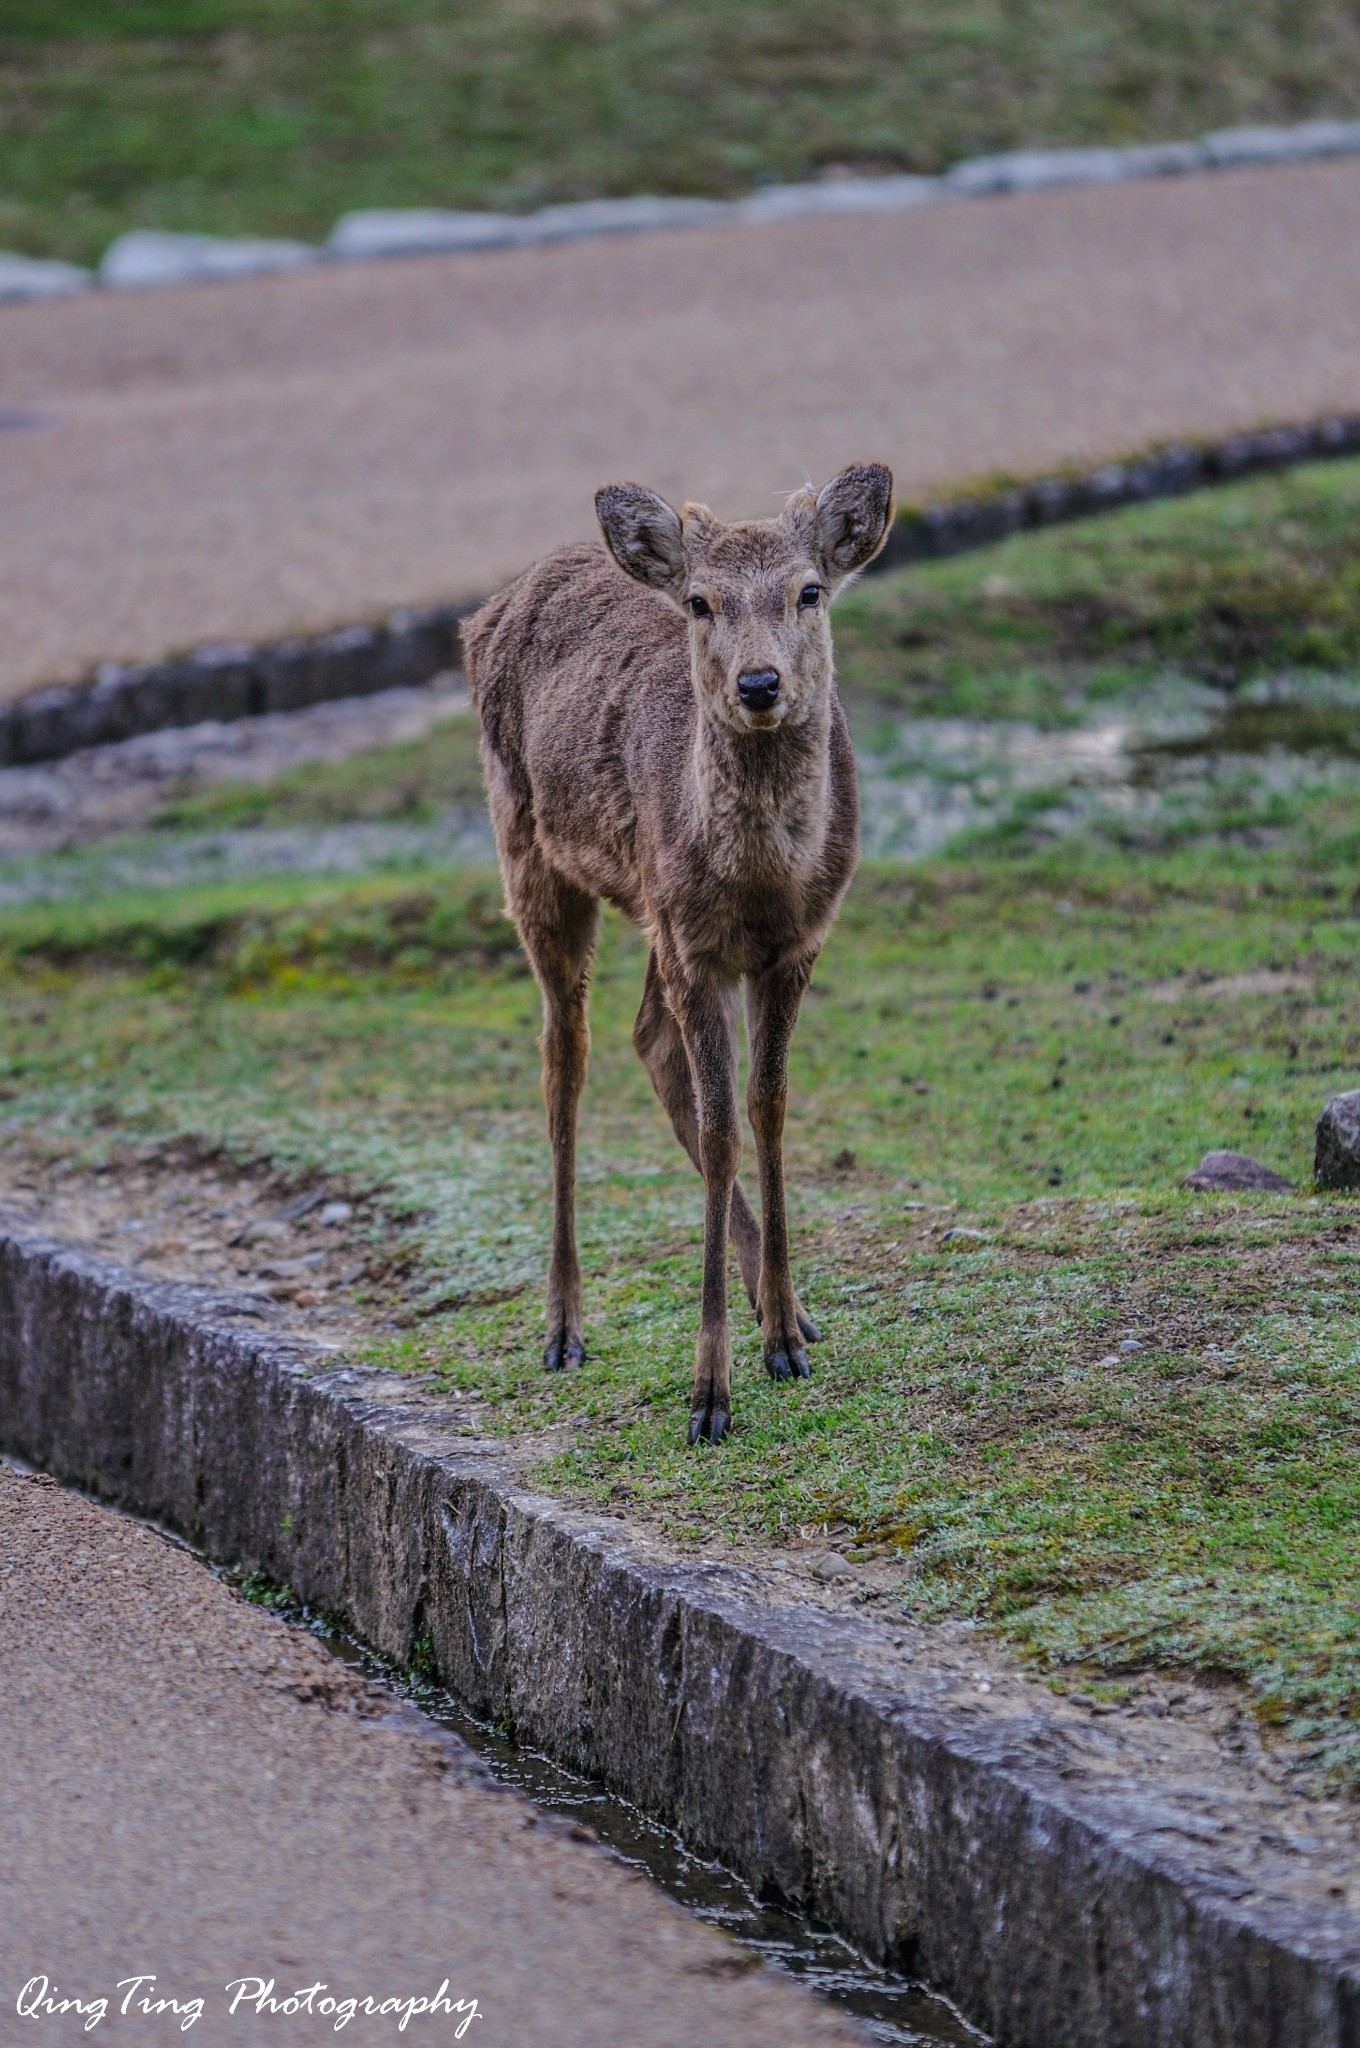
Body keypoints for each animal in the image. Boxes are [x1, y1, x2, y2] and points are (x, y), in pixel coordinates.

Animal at [462, 464, 897, 1441]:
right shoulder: (697, 945)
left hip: (648, 913)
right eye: (700, 602)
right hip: (533, 854)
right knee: (565, 1057)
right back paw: (563, 1326)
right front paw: (709, 1393)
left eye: (809, 591)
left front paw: (785, 1336)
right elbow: (721, 1125)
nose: (760, 683)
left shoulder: (794, 943)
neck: (764, 881)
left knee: (648, 1040)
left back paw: (785, 1305)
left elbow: (766, 1109)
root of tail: (487, 610)